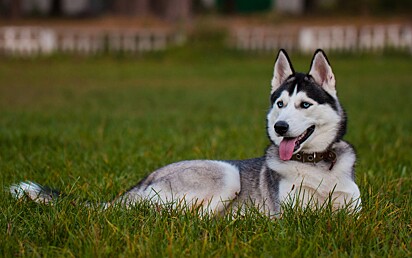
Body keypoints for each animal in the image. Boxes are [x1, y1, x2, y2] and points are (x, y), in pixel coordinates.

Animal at [9, 49, 362, 217]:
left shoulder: (353, 212)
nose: (280, 127)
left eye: (304, 104)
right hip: (226, 175)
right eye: (280, 103)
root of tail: (142, 181)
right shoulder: (288, 216)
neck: (318, 165)